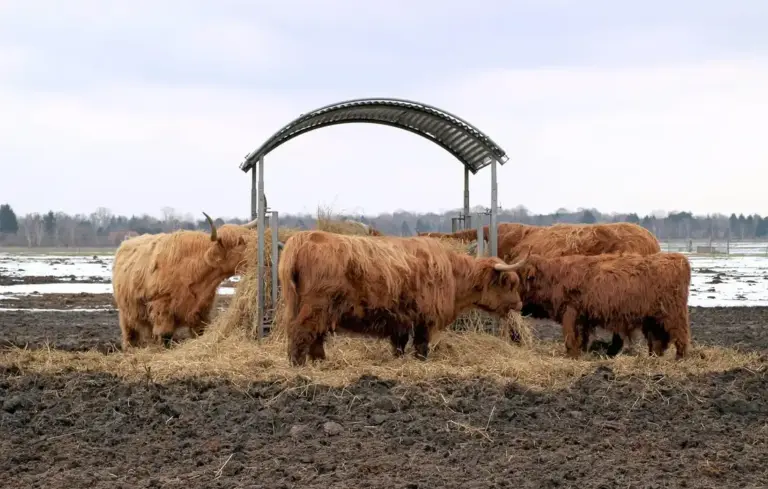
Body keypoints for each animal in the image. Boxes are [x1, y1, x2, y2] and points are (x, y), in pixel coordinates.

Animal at [112, 213, 257, 349]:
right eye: (239, 242)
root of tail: (126, 242)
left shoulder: (201, 310)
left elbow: (200, 332)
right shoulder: (162, 307)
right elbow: (165, 336)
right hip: (126, 311)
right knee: (129, 333)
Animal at [277, 230, 528, 366]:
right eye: (510, 283)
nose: (520, 304)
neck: (454, 276)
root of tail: (302, 239)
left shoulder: (400, 319)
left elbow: (399, 345)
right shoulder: (425, 318)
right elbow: (421, 346)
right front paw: (420, 362)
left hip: (314, 308)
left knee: (314, 336)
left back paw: (320, 362)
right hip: (317, 306)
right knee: (302, 332)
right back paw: (299, 366)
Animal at [514, 252, 691, 360]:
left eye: (517, 278)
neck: (554, 278)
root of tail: (679, 259)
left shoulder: (570, 311)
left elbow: (570, 338)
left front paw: (571, 356)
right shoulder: (582, 318)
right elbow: (580, 338)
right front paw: (579, 355)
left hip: (673, 314)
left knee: (682, 336)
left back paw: (679, 359)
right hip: (653, 319)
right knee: (657, 340)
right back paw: (653, 358)